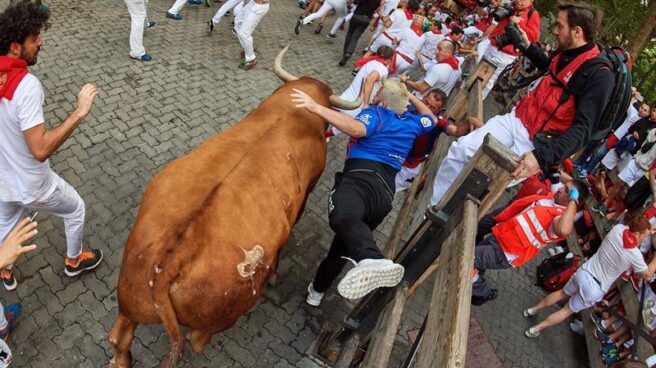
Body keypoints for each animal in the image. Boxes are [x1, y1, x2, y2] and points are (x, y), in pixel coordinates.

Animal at [109, 46, 362, 368]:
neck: (295, 110)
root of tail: (169, 262)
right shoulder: (308, 190)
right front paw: (275, 274)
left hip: (130, 300)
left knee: (119, 338)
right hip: (220, 313)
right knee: (196, 340)